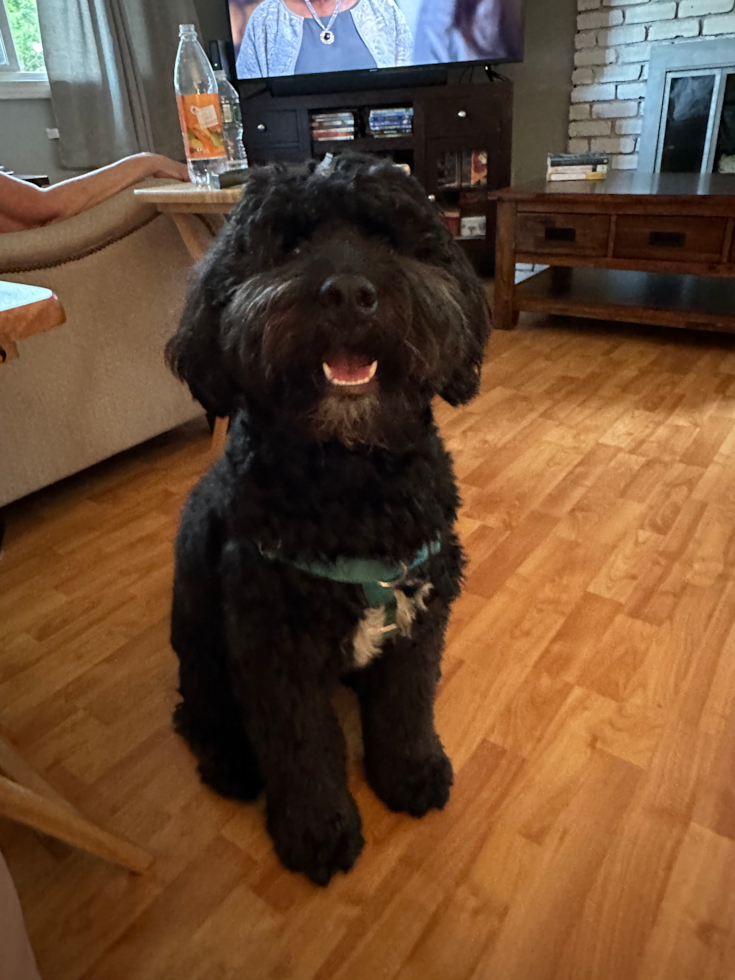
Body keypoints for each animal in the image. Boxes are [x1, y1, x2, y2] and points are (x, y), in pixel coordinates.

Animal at [166, 155, 488, 888]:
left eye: (390, 238)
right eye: (287, 246)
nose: (347, 293)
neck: (350, 479)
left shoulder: (419, 618)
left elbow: (405, 706)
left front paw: (409, 773)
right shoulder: (273, 646)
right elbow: (302, 747)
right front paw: (316, 832)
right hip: (200, 640)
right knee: (200, 711)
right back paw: (231, 762)